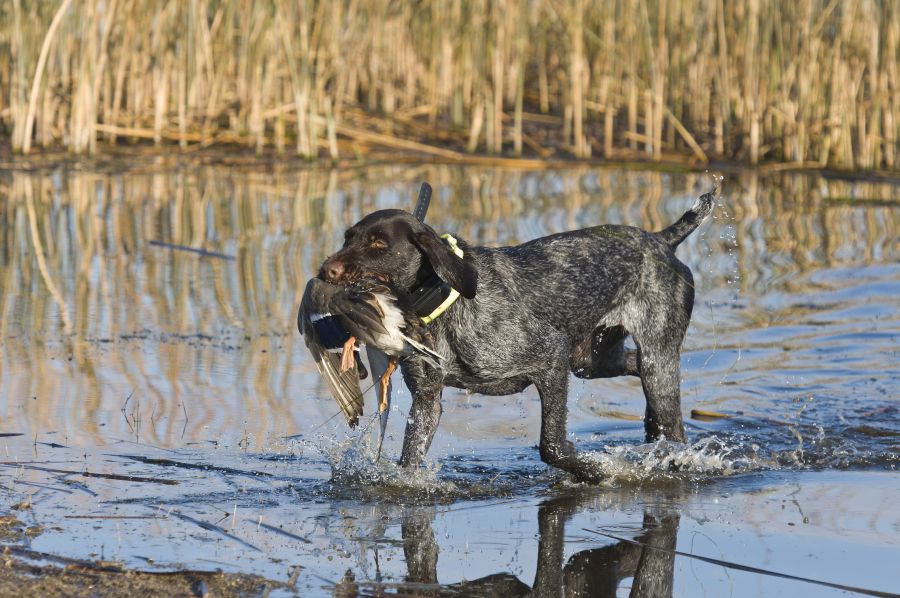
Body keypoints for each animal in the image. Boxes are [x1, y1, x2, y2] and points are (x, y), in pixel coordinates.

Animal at [320, 192, 712, 482]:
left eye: (378, 244)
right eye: (348, 237)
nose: (326, 270)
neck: (443, 305)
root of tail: (661, 239)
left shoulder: (551, 358)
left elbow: (551, 446)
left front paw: (597, 471)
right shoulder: (428, 399)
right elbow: (410, 459)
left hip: (654, 360)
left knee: (674, 427)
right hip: (592, 360)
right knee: (636, 369)